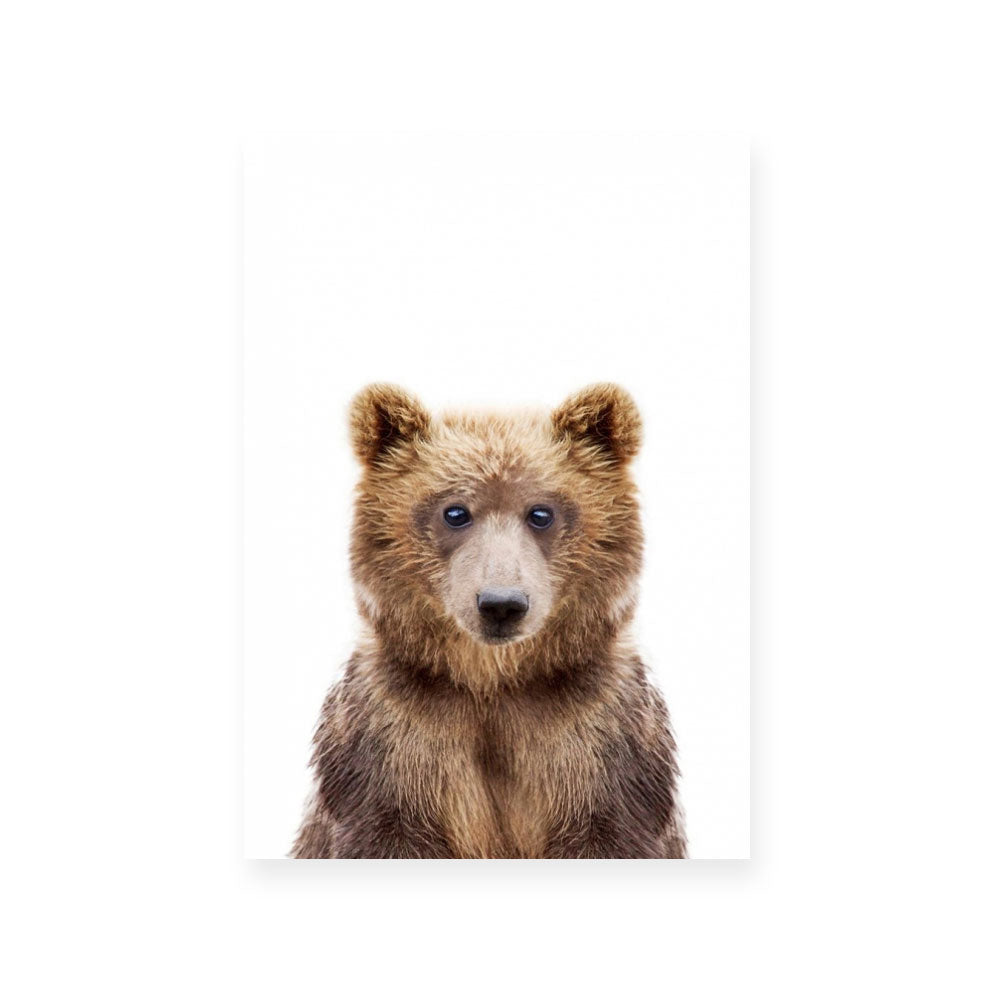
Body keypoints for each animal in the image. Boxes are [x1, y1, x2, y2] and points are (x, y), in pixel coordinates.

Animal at [291, 383, 686, 859]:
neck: (493, 682)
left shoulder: (600, 740)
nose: (501, 604)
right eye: (455, 511)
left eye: (541, 512)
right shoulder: (392, 742)